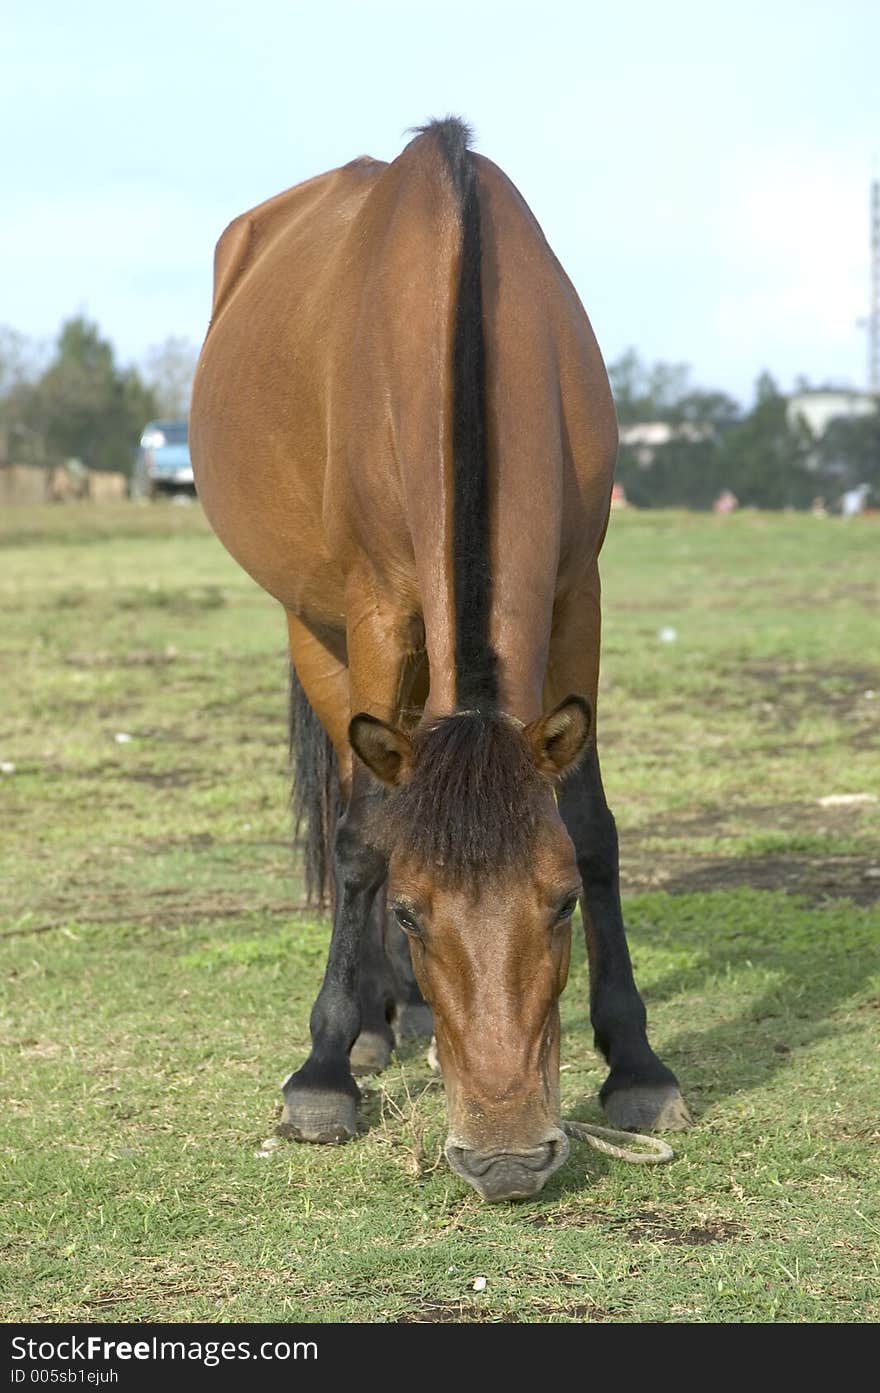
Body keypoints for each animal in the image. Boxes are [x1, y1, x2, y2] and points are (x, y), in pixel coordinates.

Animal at [189, 119, 690, 1203]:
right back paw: (372, 1026)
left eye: (558, 904)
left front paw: (636, 1063)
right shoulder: (378, 612)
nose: (504, 1157)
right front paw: (323, 1071)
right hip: (318, 629)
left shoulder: (575, 594)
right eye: (416, 916)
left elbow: (592, 825)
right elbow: (362, 839)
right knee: (356, 796)